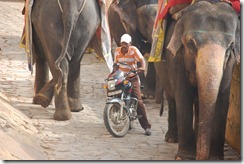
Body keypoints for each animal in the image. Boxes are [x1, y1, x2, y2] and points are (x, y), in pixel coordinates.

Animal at [154, 0, 240, 160]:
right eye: (190, 44)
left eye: (230, 46)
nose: (201, 157)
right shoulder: (177, 58)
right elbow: (183, 96)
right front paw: (184, 157)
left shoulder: (230, 63)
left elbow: (223, 98)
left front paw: (215, 158)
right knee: (172, 97)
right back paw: (172, 138)